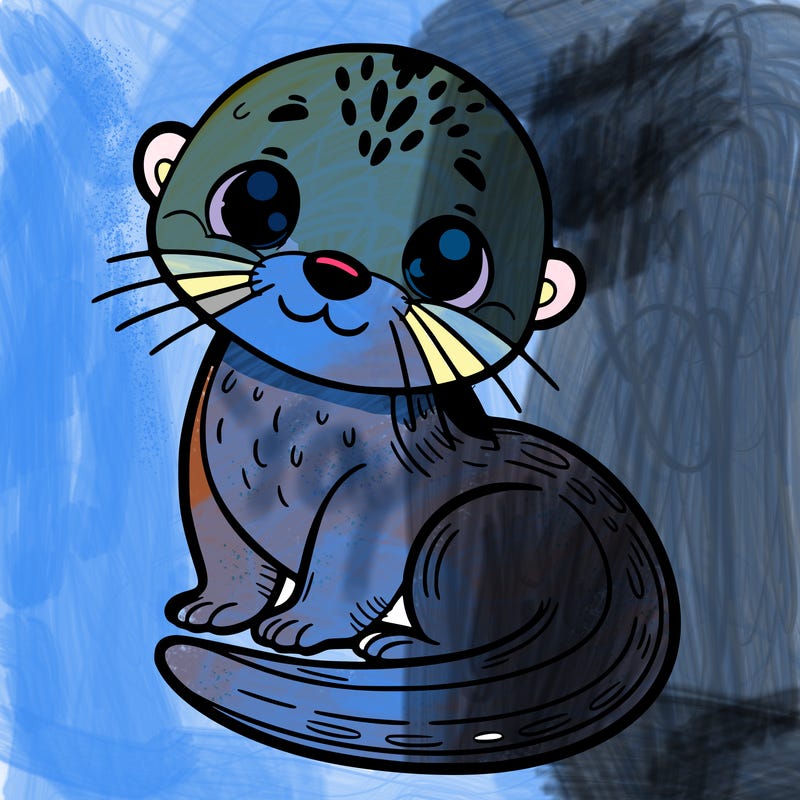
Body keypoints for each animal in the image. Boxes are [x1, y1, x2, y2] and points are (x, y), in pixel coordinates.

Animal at [106, 45, 679, 773]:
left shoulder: (380, 496)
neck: (285, 437)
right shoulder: (204, 469)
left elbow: (347, 568)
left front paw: (302, 625)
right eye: (255, 199)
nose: (336, 267)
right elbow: (223, 545)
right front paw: (215, 607)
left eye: (450, 259)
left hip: (465, 533)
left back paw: (400, 649)